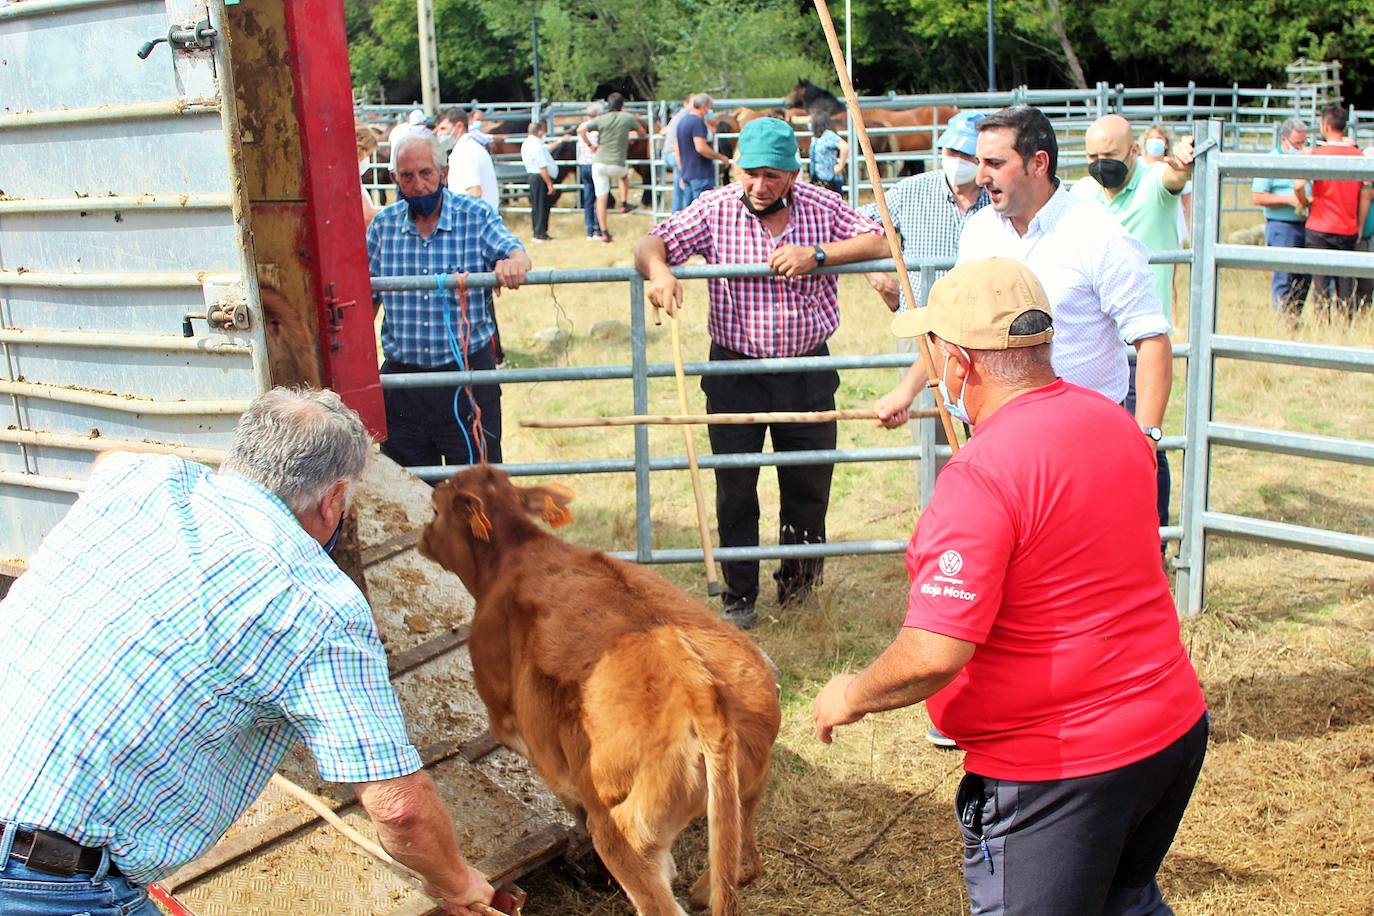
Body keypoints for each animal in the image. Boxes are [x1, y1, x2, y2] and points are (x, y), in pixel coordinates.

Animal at [417, 469, 785, 911]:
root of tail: (701, 692)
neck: (517, 553)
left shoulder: (511, 722)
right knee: (744, 863)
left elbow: (565, 791)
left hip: (624, 833)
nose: (421, 536)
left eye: (435, 509)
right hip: (750, 790)